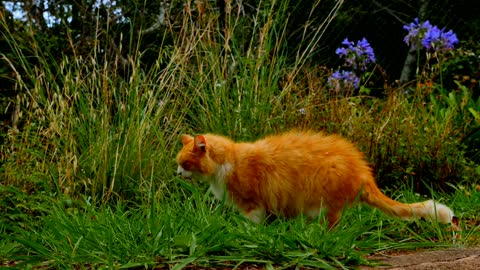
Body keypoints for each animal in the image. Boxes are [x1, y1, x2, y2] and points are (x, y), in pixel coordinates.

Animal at [177, 131, 458, 228]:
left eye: (185, 164)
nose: (177, 173)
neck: (229, 161)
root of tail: (364, 173)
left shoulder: (253, 204)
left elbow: (253, 223)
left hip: (328, 197)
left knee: (333, 225)